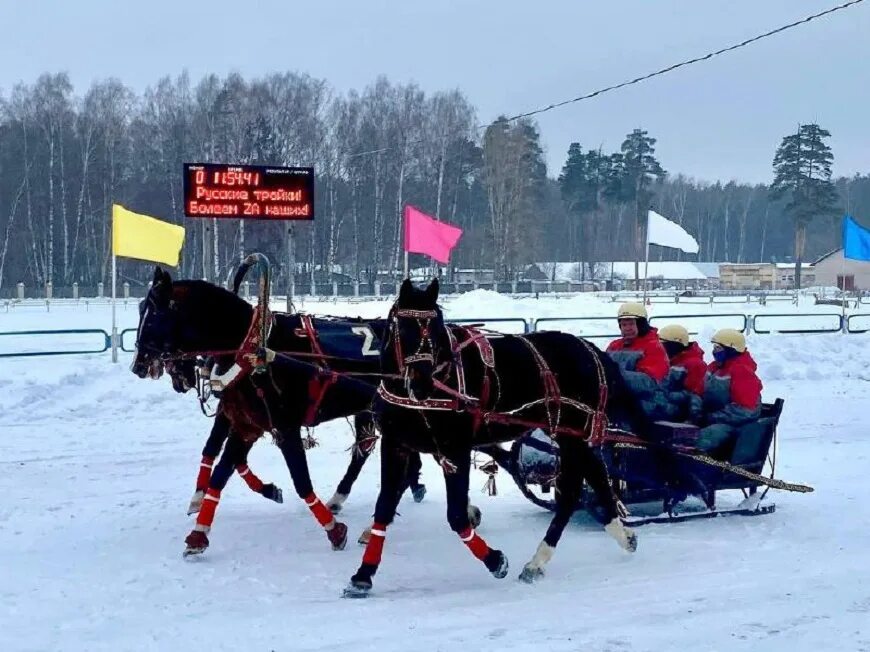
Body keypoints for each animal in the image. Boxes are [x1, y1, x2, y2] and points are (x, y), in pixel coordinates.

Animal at [130, 268, 426, 556]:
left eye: (154, 315)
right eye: (141, 309)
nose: (138, 365)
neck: (255, 351)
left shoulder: (284, 425)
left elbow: (300, 480)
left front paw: (334, 530)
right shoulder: (245, 423)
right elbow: (220, 470)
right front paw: (199, 532)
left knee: (372, 455)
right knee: (367, 452)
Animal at [346, 278, 640, 600]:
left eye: (435, 329)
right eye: (404, 327)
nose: (421, 383)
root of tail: (589, 348)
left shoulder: (455, 449)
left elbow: (457, 516)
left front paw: (495, 560)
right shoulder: (397, 445)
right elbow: (384, 508)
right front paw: (363, 574)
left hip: (571, 433)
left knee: (574, 491)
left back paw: (540, 559)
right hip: (571, 434)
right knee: (595, 477)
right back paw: (621, 534)